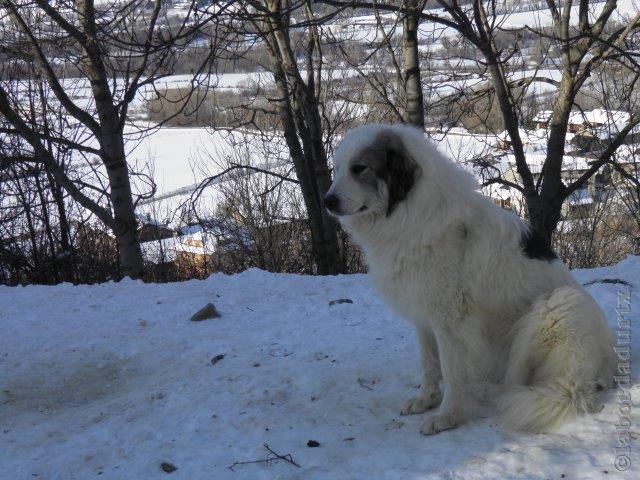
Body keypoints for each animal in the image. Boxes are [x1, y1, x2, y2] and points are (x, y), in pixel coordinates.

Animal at [324, 124, 616, 436]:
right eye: (337, 169)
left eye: (359, 168)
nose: (327, 201)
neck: (409, 214)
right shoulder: (424, 317)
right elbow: (429, 365)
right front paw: (425, 400)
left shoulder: (451, 321)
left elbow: (451, 372)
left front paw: (447, 417)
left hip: (561, 304)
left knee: (564, 380)